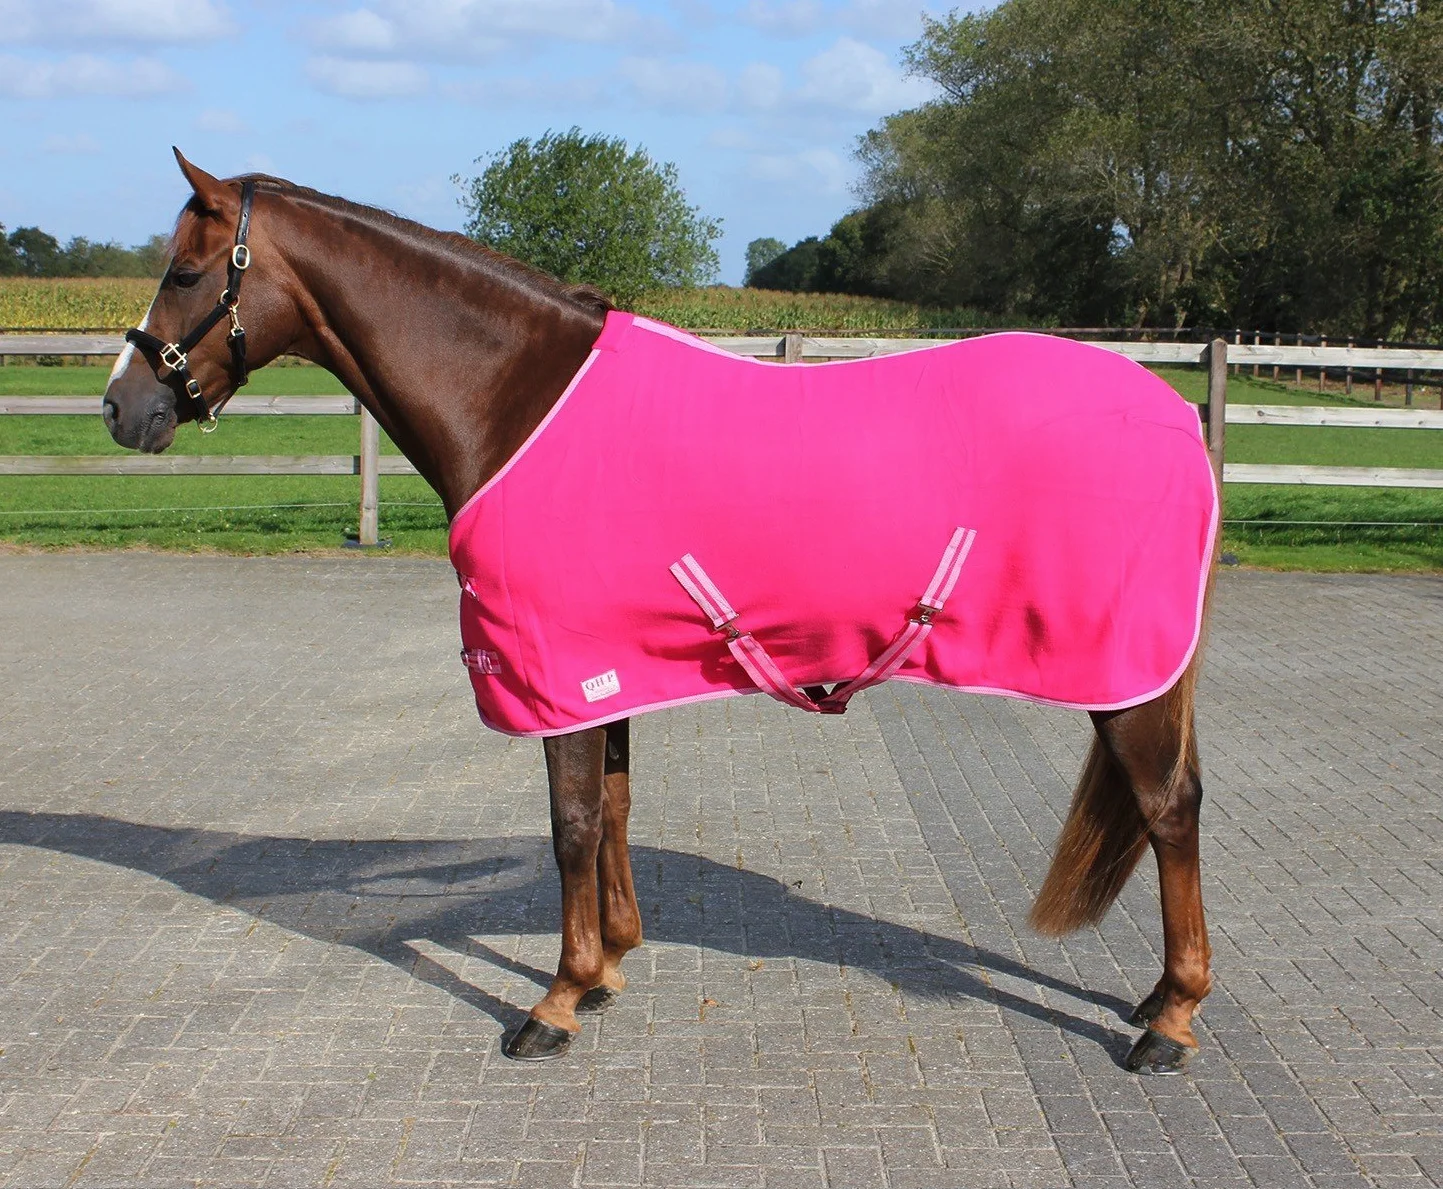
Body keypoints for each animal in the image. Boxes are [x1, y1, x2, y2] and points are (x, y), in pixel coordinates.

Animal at [101, 150, 1216, 1075]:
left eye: (187, 272)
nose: (121, 409)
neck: (518, 397)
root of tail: (1175, 414)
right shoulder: (606, 670)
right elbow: (615, 811)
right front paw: (604, 970)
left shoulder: (551, 669)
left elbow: (569, 825)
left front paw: (553, 1002)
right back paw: (1155, 1001)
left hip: (1122, 672)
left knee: (1168, 808)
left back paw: (1169, 1020)